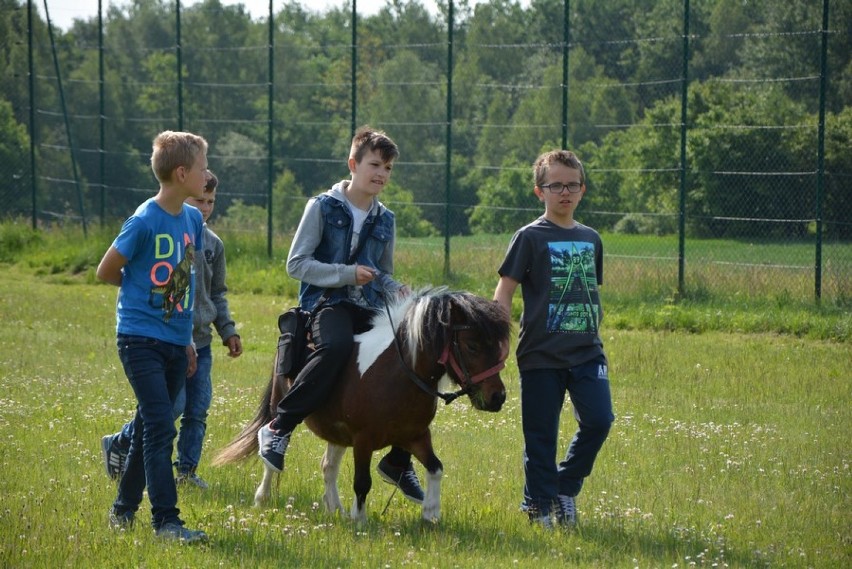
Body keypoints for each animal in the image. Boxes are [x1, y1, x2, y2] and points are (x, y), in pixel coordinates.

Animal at [215, 286, 512, 520]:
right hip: (282, 406)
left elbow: (436, 467)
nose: (497, 397)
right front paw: (359, 520)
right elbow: (362, 482)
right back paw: (263, 496)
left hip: (336, 431)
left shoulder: (416, 435)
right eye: (472, 346)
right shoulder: (363, 440)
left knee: (328, 466)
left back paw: (335, 509)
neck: (397, 372)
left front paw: (431, 513)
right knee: (275, 440)